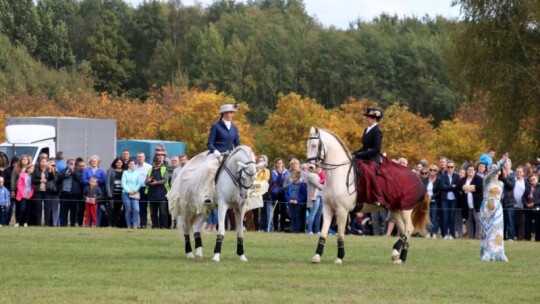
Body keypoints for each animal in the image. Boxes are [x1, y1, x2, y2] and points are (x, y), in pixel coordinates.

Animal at [308, 126, 430, 264]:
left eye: (314, 145)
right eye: (308, 145)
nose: (310, 167)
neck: (337, 175)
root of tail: (418, 179)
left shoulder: (342, 211)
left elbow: (340, 234)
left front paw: (339, 257)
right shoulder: (328, 208)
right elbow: (323, 232)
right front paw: (317, 256)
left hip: (406, 209)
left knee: (409, 229)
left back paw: (398, 254)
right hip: (395, 210)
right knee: (404, 230)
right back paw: (398, 256)